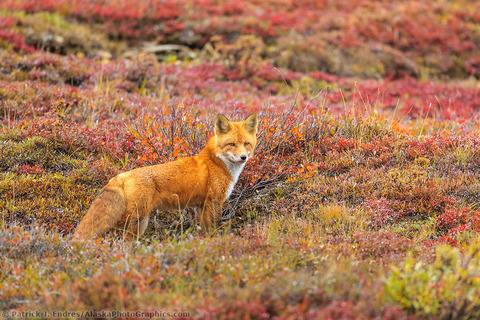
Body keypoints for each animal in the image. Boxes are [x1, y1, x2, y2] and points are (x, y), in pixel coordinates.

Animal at [73, 114, 256, 239]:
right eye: (231, 144)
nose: (243, 157)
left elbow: (205, 230)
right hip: (136, 218)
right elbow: (215, 228)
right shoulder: (214, 201)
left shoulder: (202, 205)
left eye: (246, 144)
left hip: (140, 222)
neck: (217, 162)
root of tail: (122, 175)